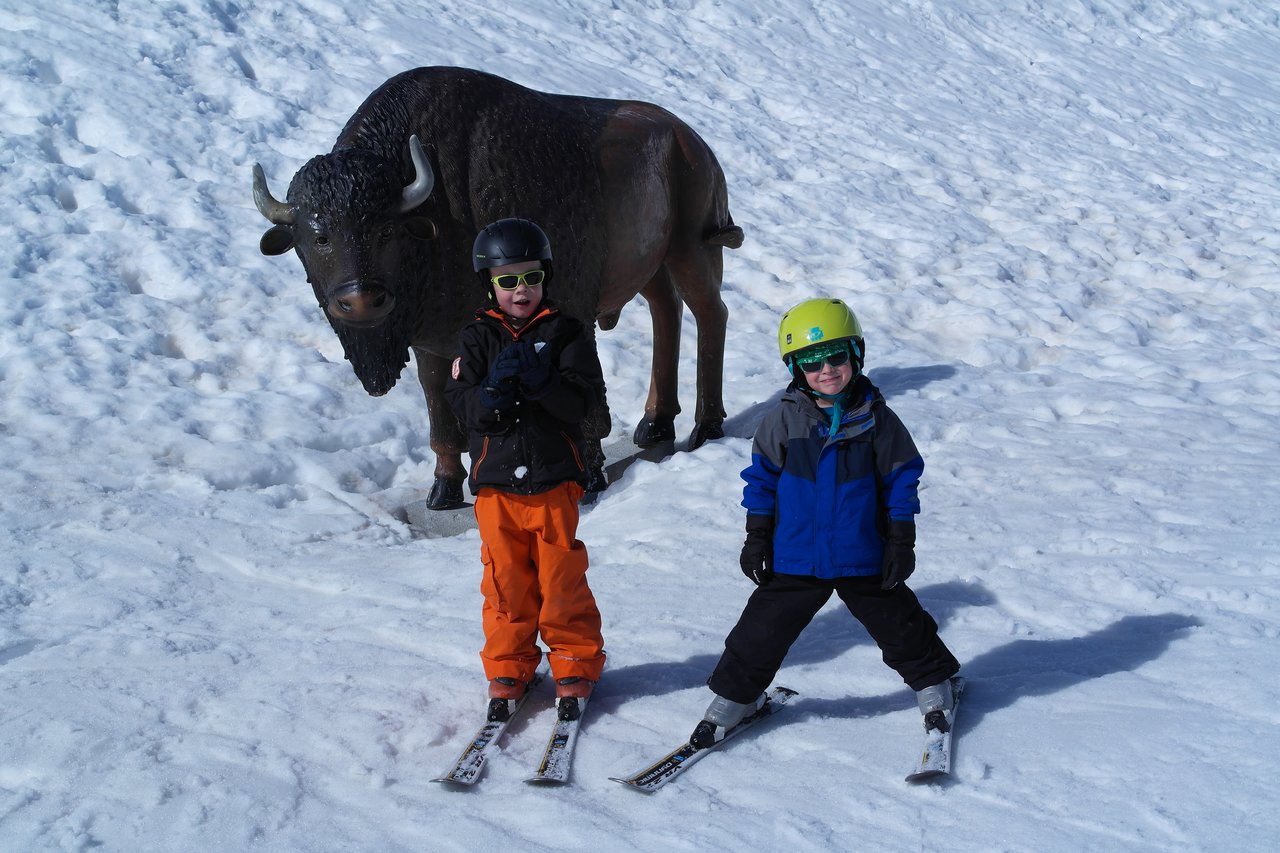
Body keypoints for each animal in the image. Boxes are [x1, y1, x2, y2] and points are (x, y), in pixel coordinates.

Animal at [253, 67, 743, 509]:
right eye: (317, 237)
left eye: (386, 231)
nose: (358, 300)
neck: (432, 202)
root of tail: (692, 142)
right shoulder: (433, 342)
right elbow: (439, 410)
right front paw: (443, 491)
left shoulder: (571, 314)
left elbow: (584, 403)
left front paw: (589, 479)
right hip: (655, 266)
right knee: (667, 313)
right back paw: (655, 424)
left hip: (692, 250)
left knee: (710, 313)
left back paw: (705, 428)